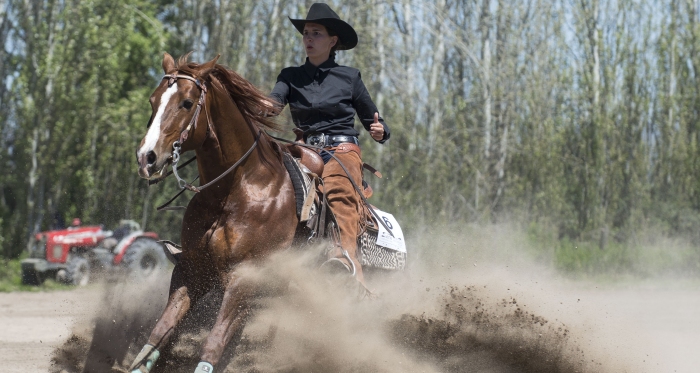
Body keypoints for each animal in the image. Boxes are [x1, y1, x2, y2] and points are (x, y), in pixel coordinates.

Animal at [133, 53, 304, 372]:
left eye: (187, 103)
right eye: (153, 100)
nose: (146, 157)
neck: (232, 192)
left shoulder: (244, 279)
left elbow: (214, 342)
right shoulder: (193, 270)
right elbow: (160, 332)